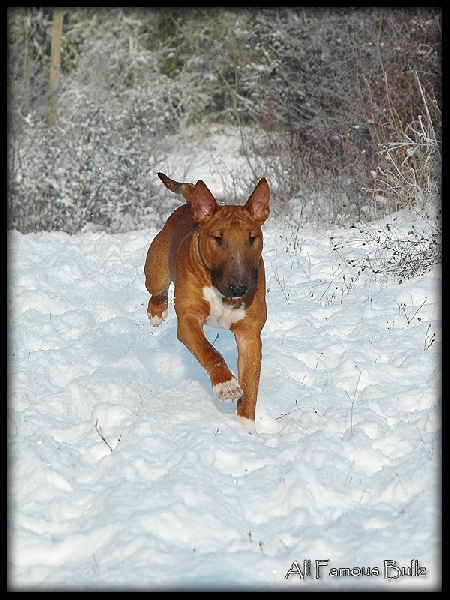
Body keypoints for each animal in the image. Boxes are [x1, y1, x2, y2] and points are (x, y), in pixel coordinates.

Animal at [145, 173, 270, 432]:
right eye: (218, 238)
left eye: (252, 237)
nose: (240, 288)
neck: (222, 292)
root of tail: (191, 203)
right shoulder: (188, 319)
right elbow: (208, 350)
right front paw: (226, 385)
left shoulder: (249, 334)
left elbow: (251, 382)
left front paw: (245, 427)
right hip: (156, 269)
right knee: (157, 288)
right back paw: (157, 311)